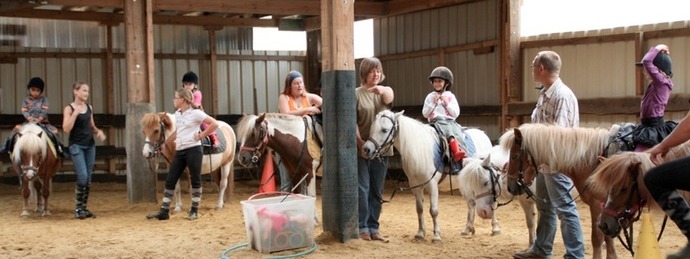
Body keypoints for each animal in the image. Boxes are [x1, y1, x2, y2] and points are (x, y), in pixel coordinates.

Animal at [362, 109, 492, 244]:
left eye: (384, 130)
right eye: (372, 128)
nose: (366, 149)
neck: (419, 149)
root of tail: (483, 135)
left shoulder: (432, 185)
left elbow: (433, 211)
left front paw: (437, 236)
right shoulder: (415, 186)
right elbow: (419, 209)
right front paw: (420, 234)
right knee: (471, 203)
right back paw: (467, 229)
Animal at [498, 124, 616, 259]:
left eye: (514, 156)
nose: (511, 187)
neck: (592, 162)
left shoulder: (597, 204)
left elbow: (597, 238)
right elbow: (532, 223)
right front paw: (530, 249)